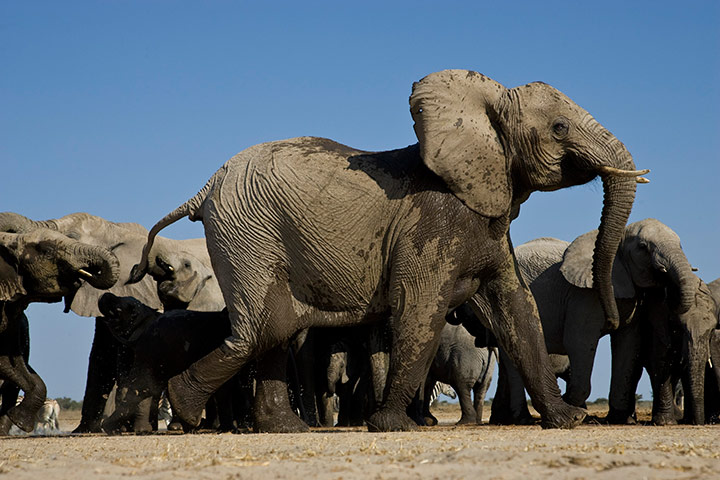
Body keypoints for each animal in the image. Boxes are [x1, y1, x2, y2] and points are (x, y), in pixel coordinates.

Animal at [129, 69, 648, 432]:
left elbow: (517, 310)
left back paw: (282, 429)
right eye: (559, 128)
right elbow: (421, 308)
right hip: (246, 230)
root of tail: (205, 187)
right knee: (265, 325)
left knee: (277, 325)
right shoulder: (435, 222)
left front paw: (569, 421)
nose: (616, 317)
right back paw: (186, 412)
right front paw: (393, 425)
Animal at [487, 219, 713, 425]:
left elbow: (628, 344)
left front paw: (620, 419)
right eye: (642, 247)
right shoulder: (583, 296)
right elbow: (579, 342)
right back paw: (522, 419)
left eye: (681, 245)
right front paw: (573, 408)